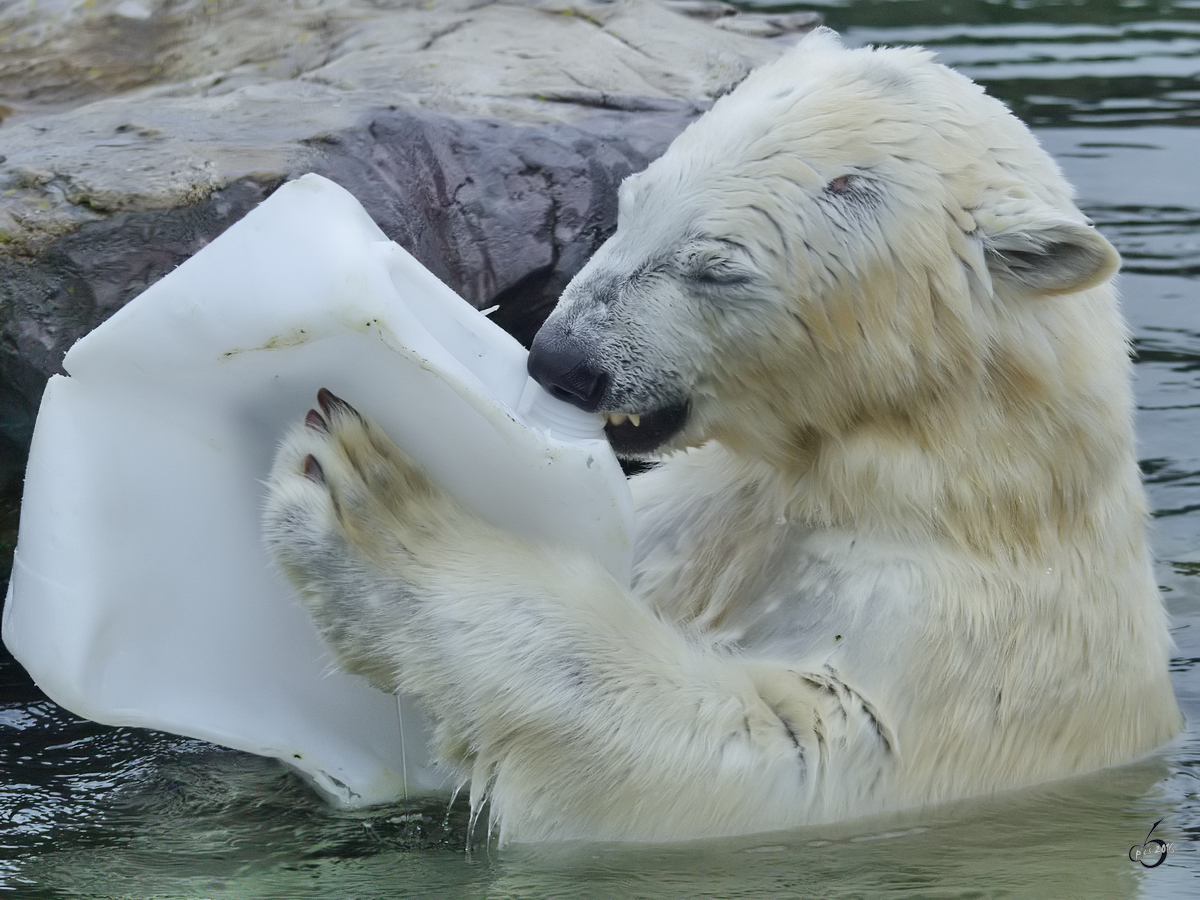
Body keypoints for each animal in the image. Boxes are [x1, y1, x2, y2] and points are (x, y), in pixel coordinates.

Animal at [265, 30, 1180, 844]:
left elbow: (767, 753)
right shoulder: (709, 515)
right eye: (629, 205)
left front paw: (373, 506)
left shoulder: (962, 648)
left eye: (715, 268)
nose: (561, 361)